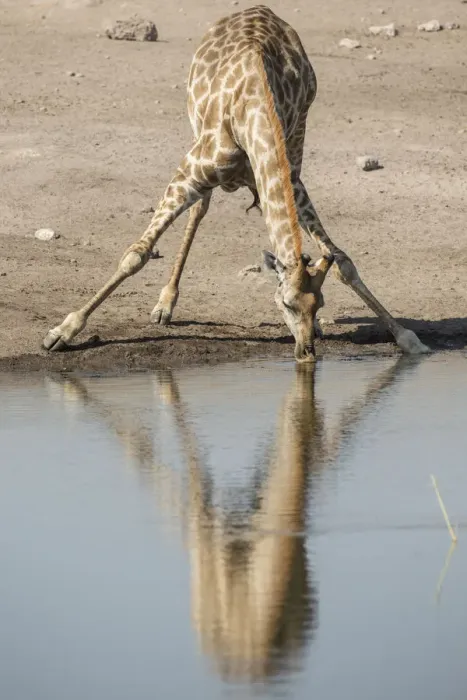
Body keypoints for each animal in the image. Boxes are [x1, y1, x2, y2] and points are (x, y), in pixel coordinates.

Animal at [43, 5, 430, 361]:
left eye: (318, 303)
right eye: (286, 304)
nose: (307, 353)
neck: (251, 116)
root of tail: (259, 8)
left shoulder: (290, 180)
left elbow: (344, 263)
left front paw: (408, 338)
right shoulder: (189, 173)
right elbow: (135, 256)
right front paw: (62, 331)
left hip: (295, 140)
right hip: (196, 135)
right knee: (199, 210)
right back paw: (165, 305)